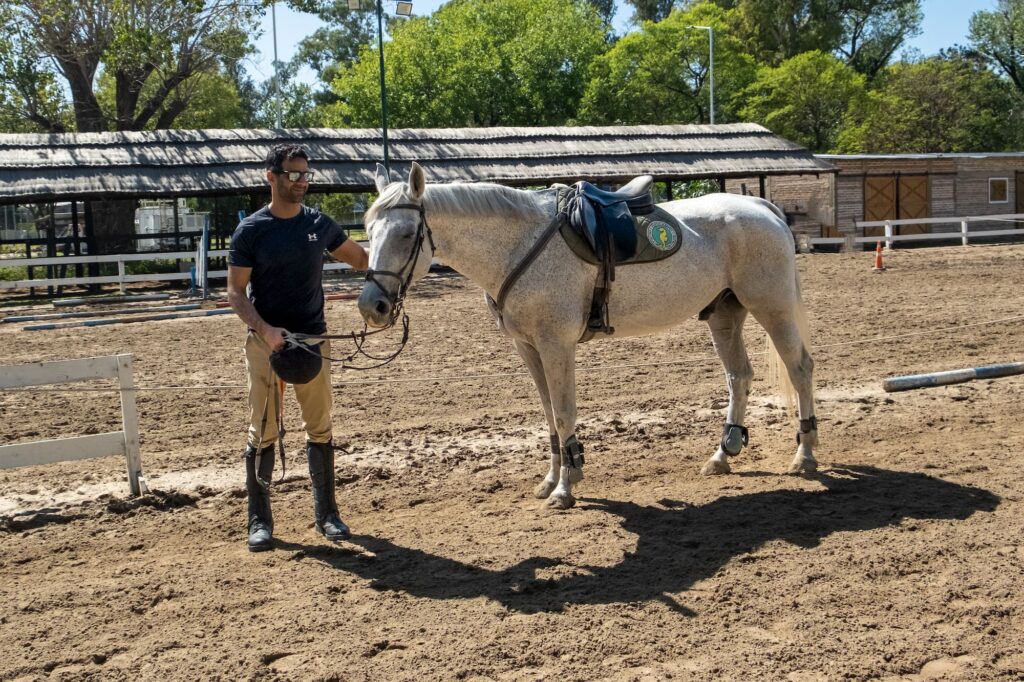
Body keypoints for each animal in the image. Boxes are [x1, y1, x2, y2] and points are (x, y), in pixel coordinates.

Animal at [356, 161, 819, 507]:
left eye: (405, 234)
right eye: (368, 231)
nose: (371, 306)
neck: (517, 243)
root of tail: (760, 206)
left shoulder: (555, 344)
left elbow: (563, 413)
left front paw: (565, 486)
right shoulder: (528, 347)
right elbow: (547, 414)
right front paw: (553, 477)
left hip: (773, 308)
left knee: (799, 370)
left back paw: (805, 454)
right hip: (724, 314)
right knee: (739, 377)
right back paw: (723, 454)